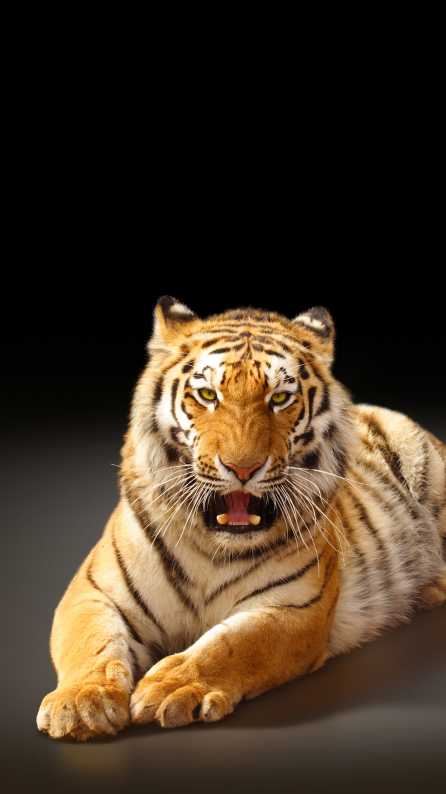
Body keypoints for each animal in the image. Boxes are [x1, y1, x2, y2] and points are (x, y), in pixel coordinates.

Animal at [37, 297, 446, 741]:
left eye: (280, 398)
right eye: (206, 394)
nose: (243, 468)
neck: (211, 546)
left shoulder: (293, 607)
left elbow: (230, 646)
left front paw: (171, 686)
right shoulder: (93, 592)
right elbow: (91, 644)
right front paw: (82, 703)